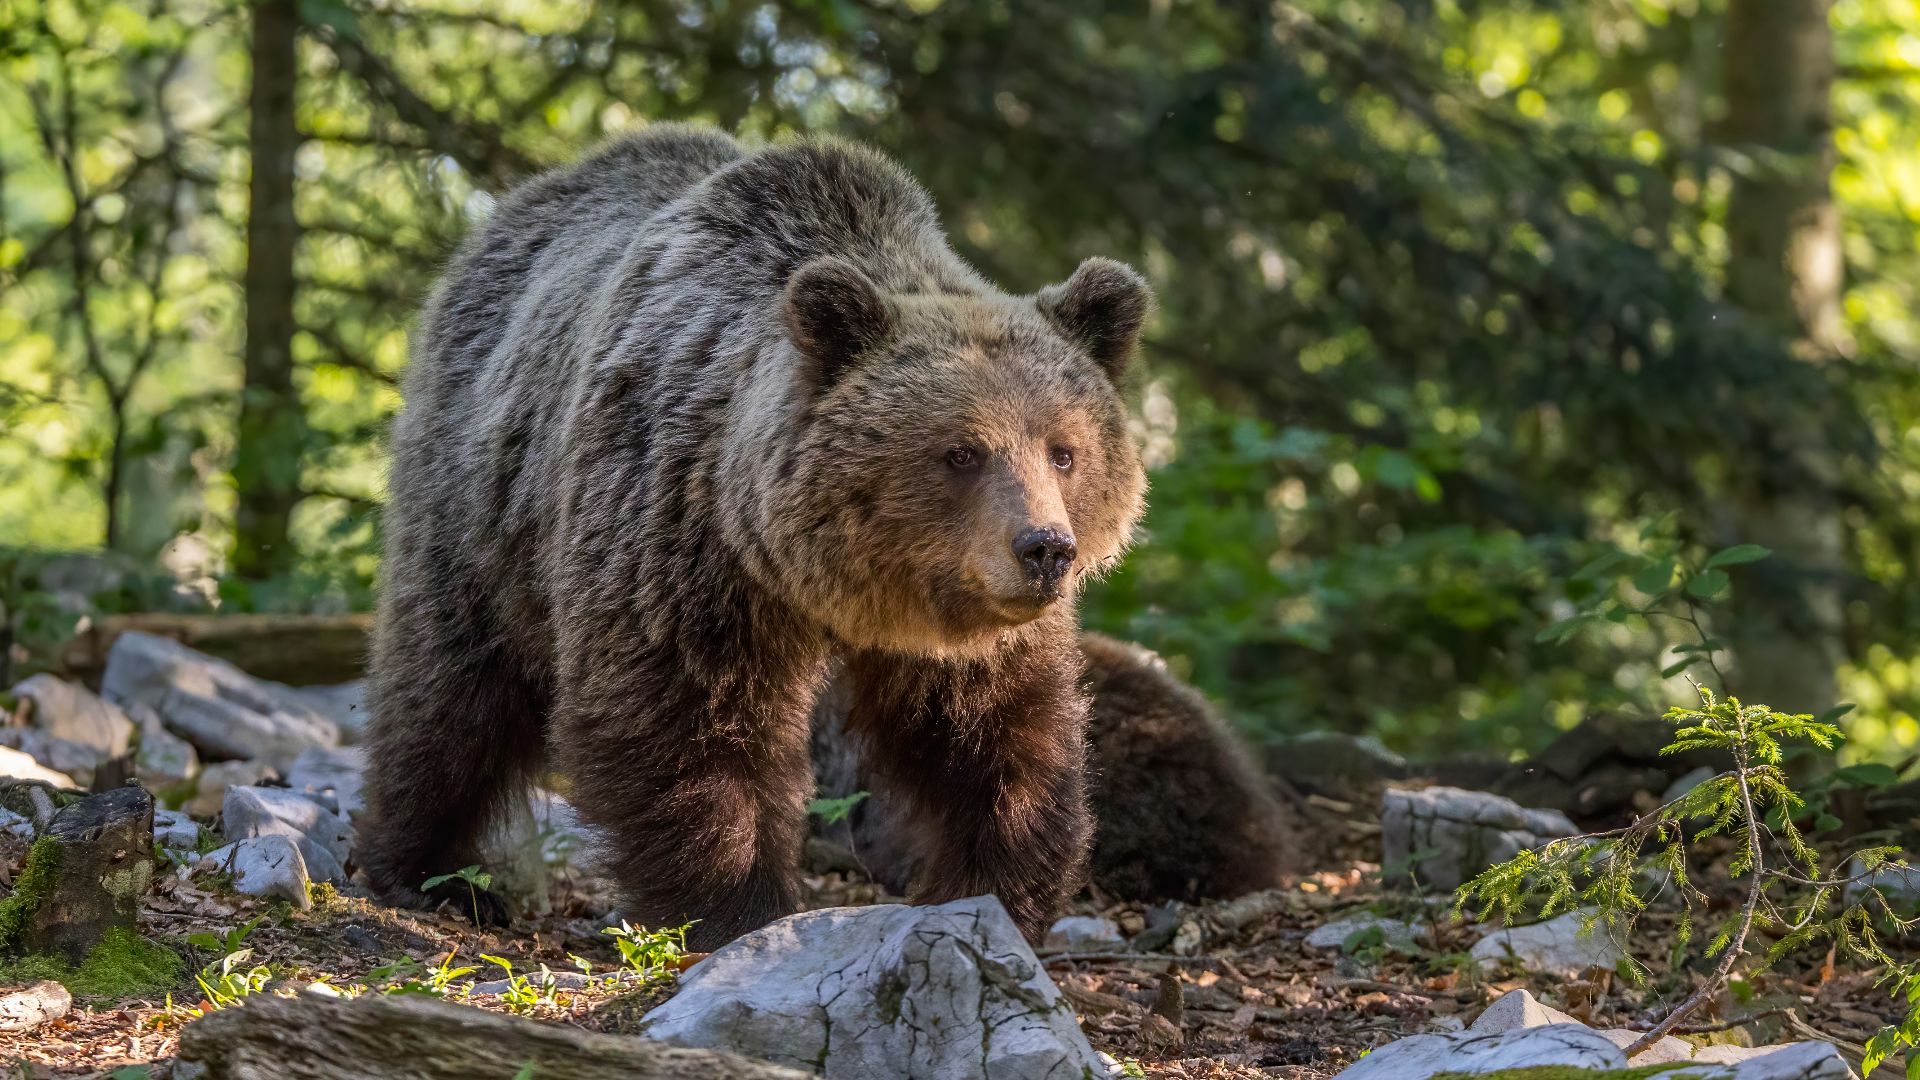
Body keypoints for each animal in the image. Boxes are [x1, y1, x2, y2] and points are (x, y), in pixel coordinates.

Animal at [357, 125, 1153, 949]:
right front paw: (736, 906)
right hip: (482, 499)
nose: (1044, 549)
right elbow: (683, 718)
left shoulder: (965, 624)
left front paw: (994, 889)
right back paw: (430, 871)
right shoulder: (679, 538)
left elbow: (996, 734)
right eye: (962, 451)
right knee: (451, 688)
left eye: (1064, 450)